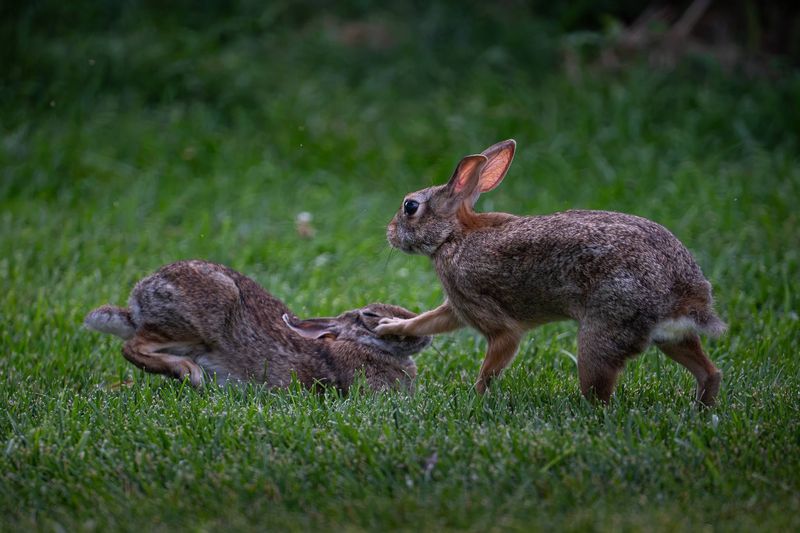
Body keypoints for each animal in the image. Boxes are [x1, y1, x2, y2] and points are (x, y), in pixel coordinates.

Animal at [84, 260, 431, 392]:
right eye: (371, 316)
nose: (425, 336)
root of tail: (138, 300)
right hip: (199, 320)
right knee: (132, 347)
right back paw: (188, 372)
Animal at [376, 139, 725, 406]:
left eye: (410, 206)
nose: (390, 233)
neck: (452, 236)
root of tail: (686, 298)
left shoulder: (490, 317)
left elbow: (492, 361)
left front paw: (475, 397)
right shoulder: (458, 308)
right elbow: (428, 321)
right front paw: (388, 327)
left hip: (602, 333)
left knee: (600, 393)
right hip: (670, 337)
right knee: (709, 371)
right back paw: (701, 408)